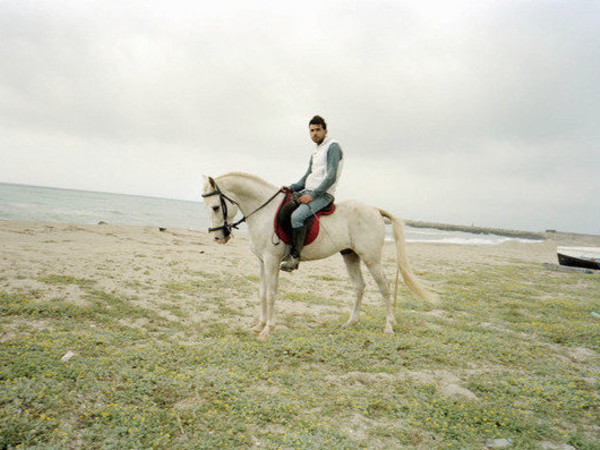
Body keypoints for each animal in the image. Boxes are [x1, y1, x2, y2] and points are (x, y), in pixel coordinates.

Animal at [203, 171, 436, 338]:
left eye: (215, 207)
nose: (218, 238)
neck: (264, 212)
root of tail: (374, 209)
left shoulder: (271, 260)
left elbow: (270, 294)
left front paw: (268, 329)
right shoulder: (262, 262)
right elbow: (261, 292)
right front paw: (258, 326)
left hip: (371, 258)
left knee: (384, 287)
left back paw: (388, 327)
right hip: (350, 255)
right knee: (359, 286)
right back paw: (350, 323)